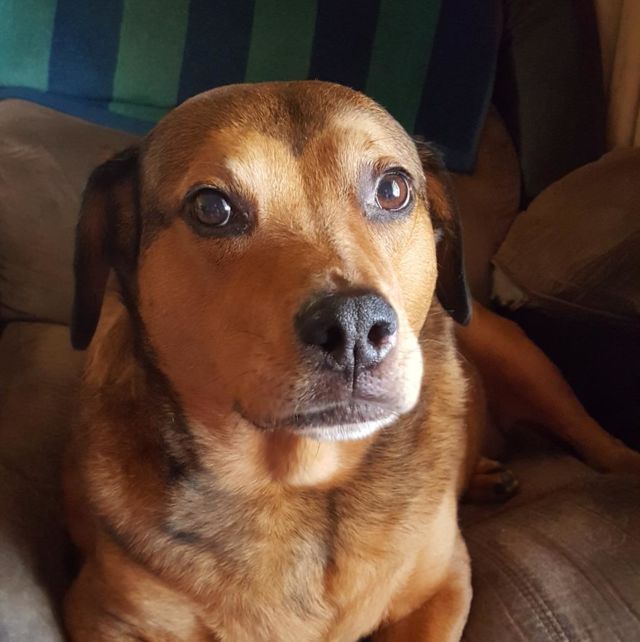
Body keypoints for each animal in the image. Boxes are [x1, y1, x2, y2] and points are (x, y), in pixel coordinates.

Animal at [64, 80, 640, 642]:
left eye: (393, 190)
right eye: (211, 208)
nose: (355, 326)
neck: (297, 483)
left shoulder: (446, 585)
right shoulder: (102, 618)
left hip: (522, 359)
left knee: (595, 438)